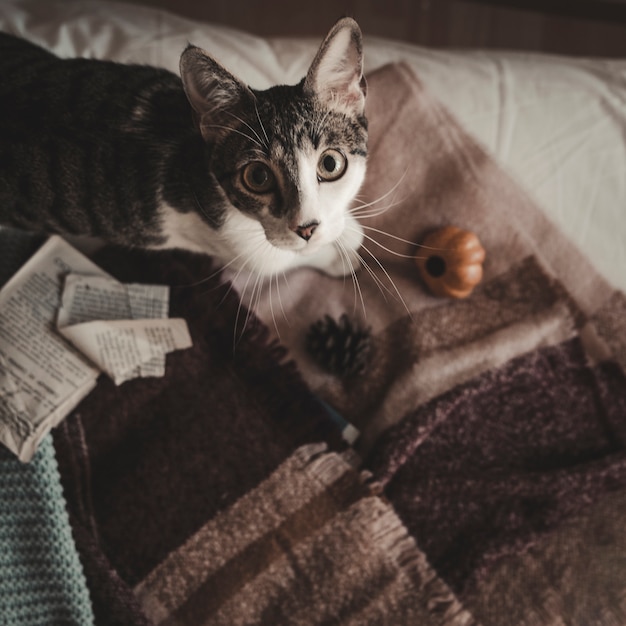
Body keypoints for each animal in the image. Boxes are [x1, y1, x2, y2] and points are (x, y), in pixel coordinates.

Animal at [0, 17, 366, 276]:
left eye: (330, 165)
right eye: (258, 177)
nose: (306, 227)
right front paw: (341, 250)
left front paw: (342, 227)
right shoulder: (241, 249)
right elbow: (282, 260)